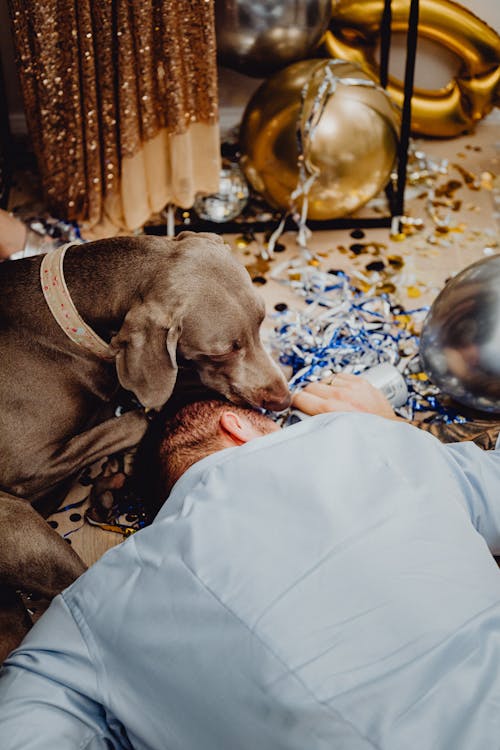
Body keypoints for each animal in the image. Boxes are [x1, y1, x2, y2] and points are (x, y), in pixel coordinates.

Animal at [0, 231, 290, 656]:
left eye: (262, 321)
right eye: (222, 350)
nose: (283, 400)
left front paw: (112, 474)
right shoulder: (25, 466)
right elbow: (138, 418)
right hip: (16, 521)